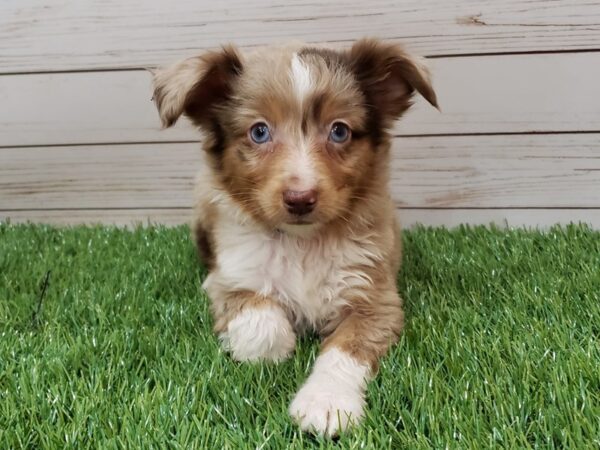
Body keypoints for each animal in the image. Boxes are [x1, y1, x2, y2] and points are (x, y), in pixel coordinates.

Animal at [152, 39, 438, 436]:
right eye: (259, 131)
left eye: (339, 131)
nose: (300, 199)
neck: (302, 242)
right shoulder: (228, 280)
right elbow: (264, 327)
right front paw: (273, 350)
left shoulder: (376, 299)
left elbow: (345, 349)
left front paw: (326, 403)